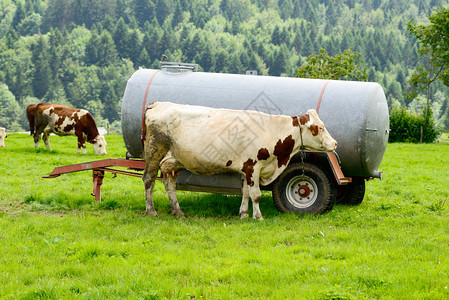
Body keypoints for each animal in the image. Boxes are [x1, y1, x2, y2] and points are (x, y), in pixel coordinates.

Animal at [144, 102, 336, 219]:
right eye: (318, 127)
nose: (335, 143)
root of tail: (158, 104)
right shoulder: (253, 167)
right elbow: (256, 195)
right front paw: (258, 216)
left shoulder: (246, 168)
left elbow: (245, 192)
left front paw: (243, 214)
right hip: (154, 155)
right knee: (148, 180)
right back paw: (151, 211)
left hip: (173, 161)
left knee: (169, 184)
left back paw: (178, 212)